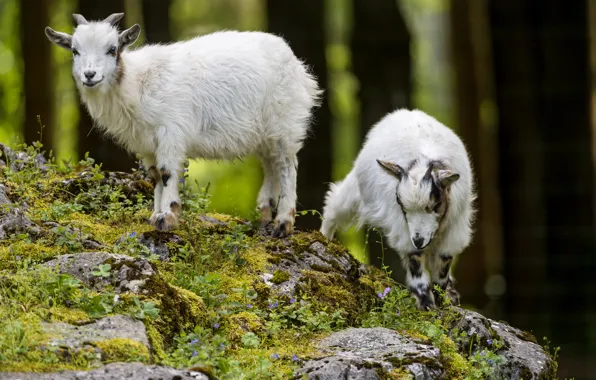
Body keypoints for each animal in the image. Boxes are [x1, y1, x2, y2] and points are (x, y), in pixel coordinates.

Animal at [45, 13, 322, 236]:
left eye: (112, 49)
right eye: (74, 50)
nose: (89, 75)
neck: (137, 81)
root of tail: (296, 64)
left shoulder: (171, 132)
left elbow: (167, 172)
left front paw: (167, 218)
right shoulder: (147, 144)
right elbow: (155, 176)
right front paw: (155, 215)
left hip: (285, 123)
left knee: (286, 166)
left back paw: (283, 224)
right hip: (265, 134)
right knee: (271, 165)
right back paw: (264, 216)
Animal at [322, 108, 474, 310]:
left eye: (435, 205)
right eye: (402, 205)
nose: (419, 240)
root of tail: (403, 112)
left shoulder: (454, 228)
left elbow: (442, 266)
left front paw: (443, 299)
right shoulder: (402, 227)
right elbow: (415, 261)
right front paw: (426, 304)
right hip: (355, 192)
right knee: (334, 205)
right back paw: (324, 238)